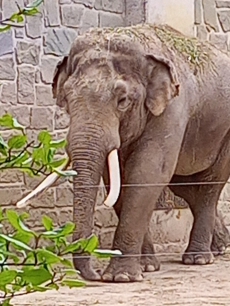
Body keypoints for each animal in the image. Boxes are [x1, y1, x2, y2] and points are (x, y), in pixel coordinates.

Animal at [17, 23, 230, 282]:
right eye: (66, 98)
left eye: (123, 100)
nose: (95, 274)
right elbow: (116, 179)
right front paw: (147, 267)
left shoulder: (172, 108)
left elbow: (147, 173)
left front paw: (122, 277)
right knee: (186, 188)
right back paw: (219, 248)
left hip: (225, 134)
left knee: (209, 186)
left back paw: (198, 259)